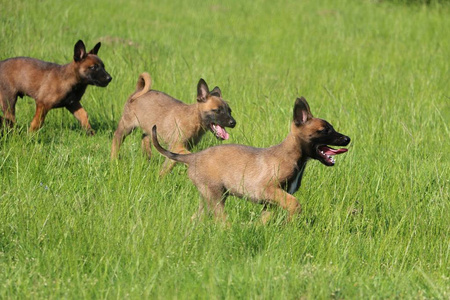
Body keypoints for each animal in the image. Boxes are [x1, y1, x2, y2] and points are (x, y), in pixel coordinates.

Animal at [151, 97, 352, 221]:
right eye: (325, 130)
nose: (347, 139)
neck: (293, 155)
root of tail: (193, 157)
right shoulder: (268, 189)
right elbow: (295, 204)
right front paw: (291, 221)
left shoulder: (271, 202)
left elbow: (265, 218)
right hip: (215, 196)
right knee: (221, 220)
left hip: (207, 196)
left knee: (197, 217)